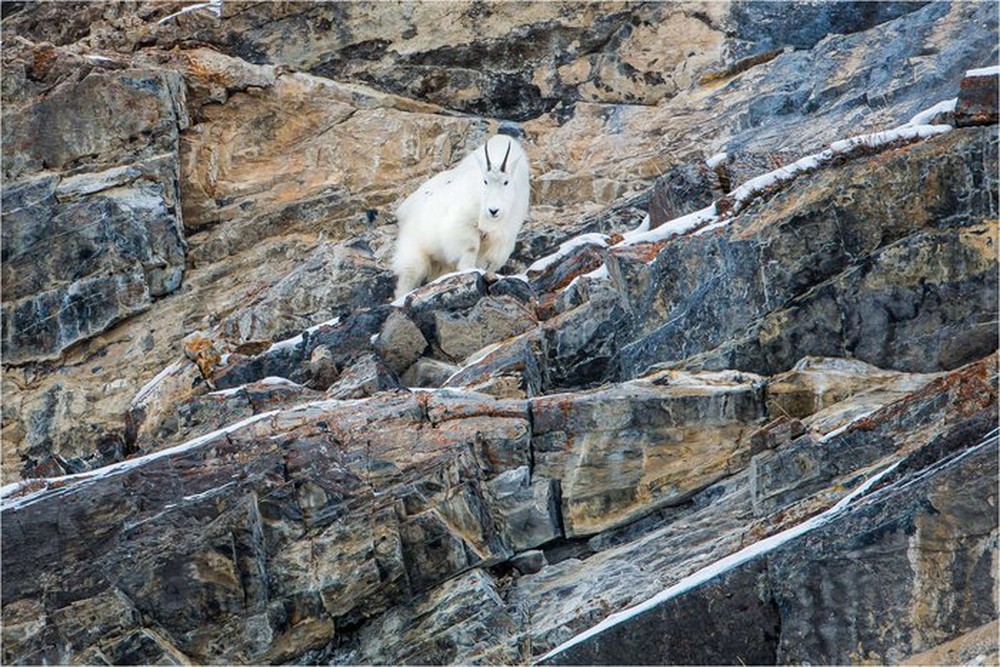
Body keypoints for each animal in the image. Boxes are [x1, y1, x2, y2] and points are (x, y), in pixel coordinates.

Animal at [390, 134, 532, 298]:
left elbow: (492, 260)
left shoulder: (503, 235)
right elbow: (471, 247)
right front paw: (469, 270)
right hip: (414, 249)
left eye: (506, 182)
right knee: (408, 275)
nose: (493, 210)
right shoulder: (463, 224)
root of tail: (403, 208)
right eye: (485, 181)